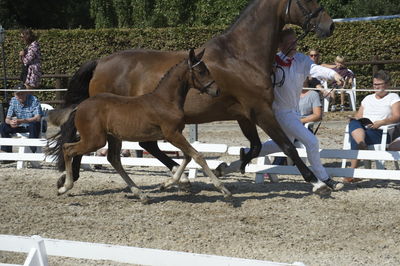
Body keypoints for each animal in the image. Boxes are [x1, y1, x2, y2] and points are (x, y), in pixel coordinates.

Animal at [48, 49, 230, 204]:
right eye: (201, 71)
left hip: (111, 137)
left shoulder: (173, 134)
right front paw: (223, 189)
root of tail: (80, 106)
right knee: (68, 148)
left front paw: (167, 183)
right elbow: (197, 156)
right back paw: (65, 187)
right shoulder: (172, 134)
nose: (217, 91)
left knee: (113, 159)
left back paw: (141, 194)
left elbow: (187, 156)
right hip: (95, 140)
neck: (165, 100)